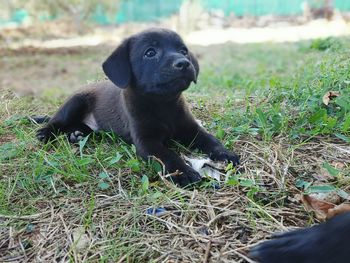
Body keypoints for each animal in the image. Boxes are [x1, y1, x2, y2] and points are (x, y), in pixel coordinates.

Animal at [37, 27, 241, 187]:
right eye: (150, 53)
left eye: (183, 51)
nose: (184, 63)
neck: (163, 104)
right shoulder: (146, 142)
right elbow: (167, 155)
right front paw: (183, 172)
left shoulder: (191, 129)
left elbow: (210, 140)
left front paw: (225, 154)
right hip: (75, 102)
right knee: (57, 121)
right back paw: (46, 133)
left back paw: (76, 134)